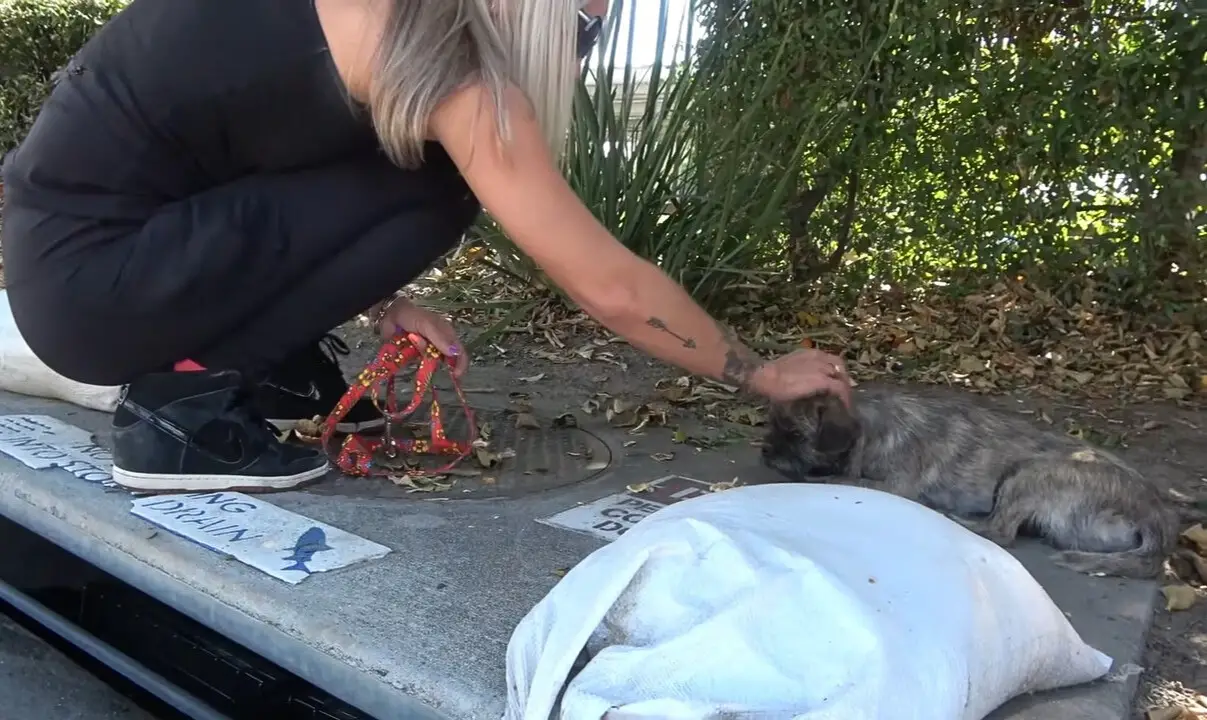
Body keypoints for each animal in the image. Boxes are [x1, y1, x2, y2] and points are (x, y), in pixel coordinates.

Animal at [762, 388, 1178, 578]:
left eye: (796, 435)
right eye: (771, 425)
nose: (766, 451)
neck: (871, 427)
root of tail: (1156, 520)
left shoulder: (893, 485)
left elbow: (840, 479)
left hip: (1030, 473)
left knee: (1001, 531)